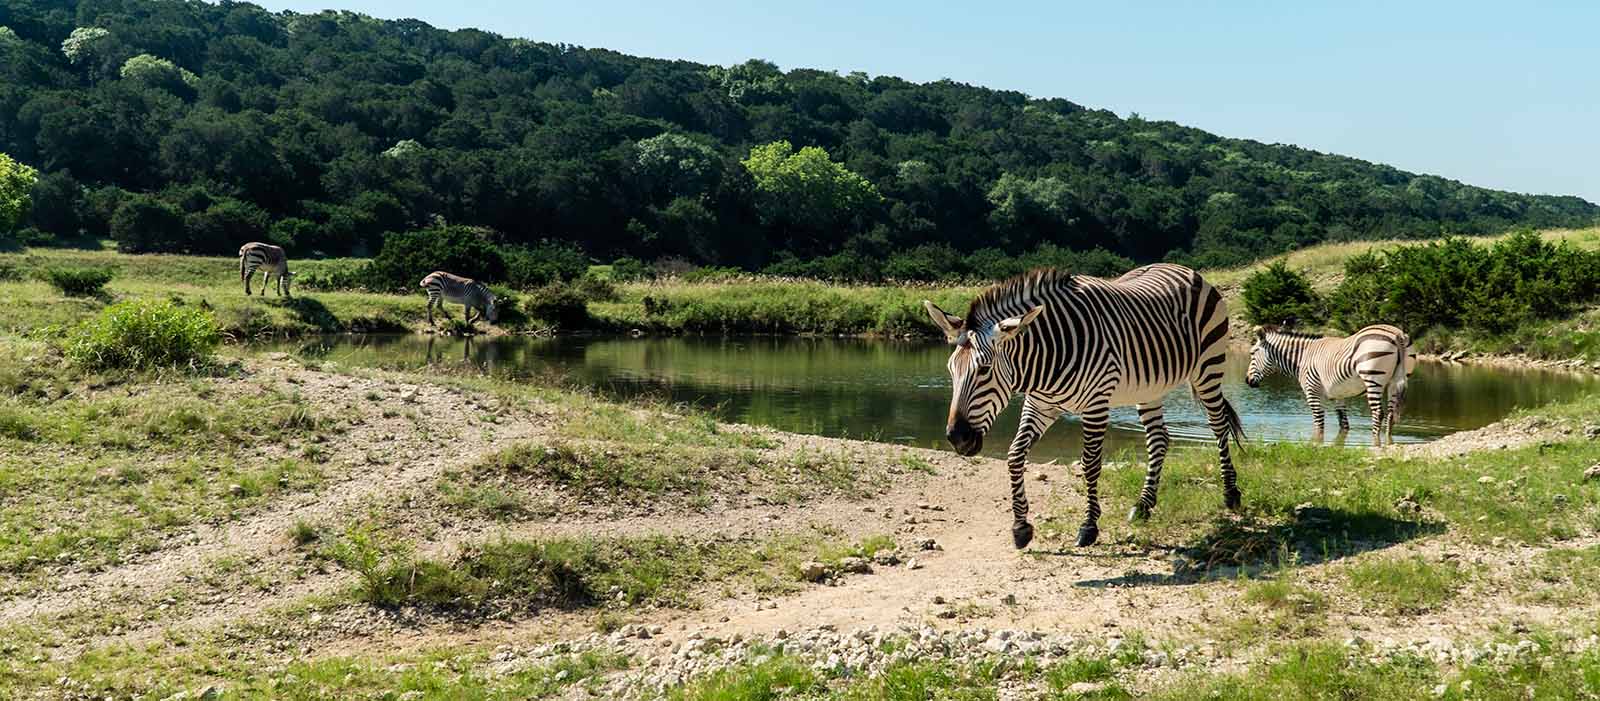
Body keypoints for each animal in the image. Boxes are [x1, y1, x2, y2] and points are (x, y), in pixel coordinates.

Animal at [924, 264, 1246, 550]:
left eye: (985, 370)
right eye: (950, 370)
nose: (957, 438)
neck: (1045, 360)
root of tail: (1184, 268)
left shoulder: (1096, 404)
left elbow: (1090, 464)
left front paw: (1089, 527)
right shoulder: (1040, 404)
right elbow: (1014, 456)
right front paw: (1021, 527)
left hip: (1208, 366)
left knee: (1218, 425)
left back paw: (1231, 494)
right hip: (1149, 387)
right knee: (1159, 439)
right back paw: (1143, 505)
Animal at [1246, 324, 1413, 446]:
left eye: (1252, 353)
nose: (1247, 381)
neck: (1302, 357)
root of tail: (1397, 334)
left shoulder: (1312, 393)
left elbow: (1318, 423)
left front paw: (1316, 445)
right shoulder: (1338, 395)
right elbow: (1344, 424)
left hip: (1373, 378)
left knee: (1378, 412)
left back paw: (1375, 443)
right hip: (1394, 383)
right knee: (1391, 414)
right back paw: (1389, 443)